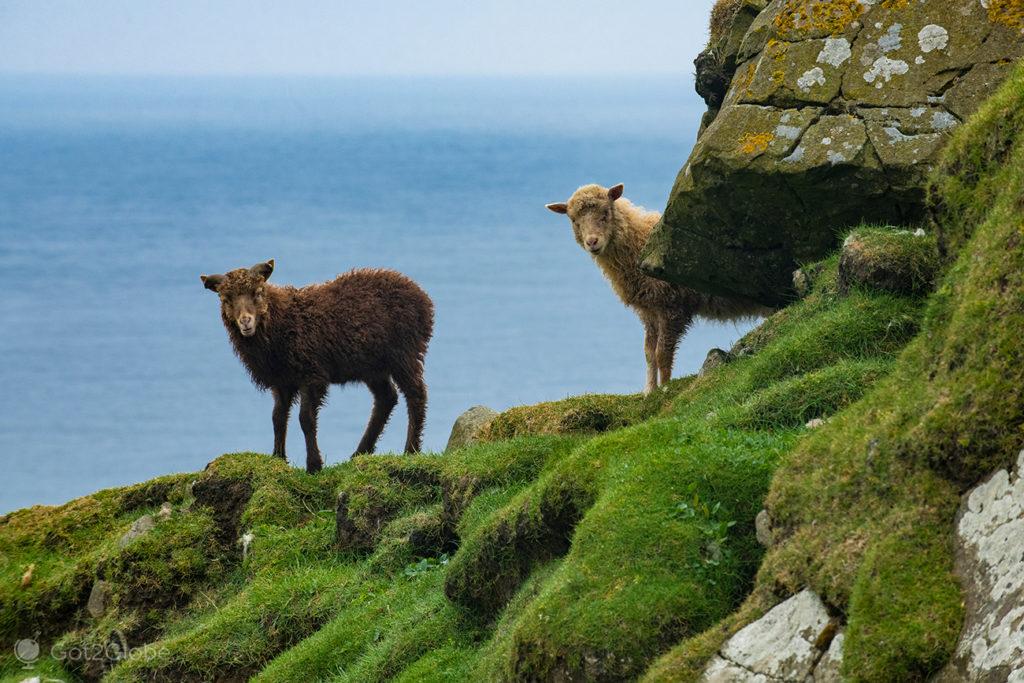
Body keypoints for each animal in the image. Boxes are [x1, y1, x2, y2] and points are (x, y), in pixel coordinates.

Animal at [199, 259, 432, 473]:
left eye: (257, 292)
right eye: (225, 298)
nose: (245, 321)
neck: (283, 322)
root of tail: (421, 295)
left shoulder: (311, 375)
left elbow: (306, 419)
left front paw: (313, 465)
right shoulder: (282, 381)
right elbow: (277, 417)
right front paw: (278, 458)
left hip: (404, 354)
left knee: (415, 394)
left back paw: (410, 450)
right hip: (372, 366)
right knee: (386, 398)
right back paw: (359, 453)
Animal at [544, 184, 770, 395]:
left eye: (605, 212)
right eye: (574, 220)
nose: (592, 242)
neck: (638, 243)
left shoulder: (672, 308)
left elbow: (663, 353)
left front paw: (665, 388)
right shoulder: (649, 311)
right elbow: (649, 353)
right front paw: (650, 391)